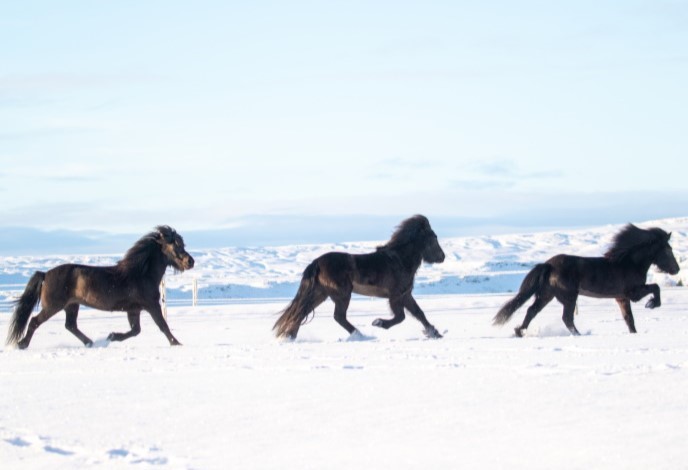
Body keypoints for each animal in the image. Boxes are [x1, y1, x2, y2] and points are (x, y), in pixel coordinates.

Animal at [6, 226, 195, 349]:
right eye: (174, 244)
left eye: (182, 243)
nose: (190, 261)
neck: (141, 274)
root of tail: (45, 274)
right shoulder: (152, 305)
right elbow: (163, 326)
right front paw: (177, 343)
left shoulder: (133, 310)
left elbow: (136, 331)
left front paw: (112, 336)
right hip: (54, 306)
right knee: (35, 321)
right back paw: (22, 344)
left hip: (72, 305)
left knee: (70, 325)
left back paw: (91, 343)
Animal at [273, 215, 446, 340]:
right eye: (433, 237)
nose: (442, 257)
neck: (400, 260)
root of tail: (316, 263)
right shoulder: (395, 296)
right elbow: (400, 317)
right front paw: (378, 322)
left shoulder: (406, 295)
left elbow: (419, 314)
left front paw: (435, 333)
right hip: (342, 294)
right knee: (338, 317)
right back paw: (361, 335)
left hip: (320, 294)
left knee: (301, 313)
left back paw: (290, 337)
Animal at [493, 224, 680, 337]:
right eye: (667, 250)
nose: (676, 269)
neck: (629, 262)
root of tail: (549, 265)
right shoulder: (633, 292)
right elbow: (656, 287)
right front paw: (652, 304)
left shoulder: (621, 298)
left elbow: (629, 319)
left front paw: (634, 333)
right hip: (568, 296)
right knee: (566, 318)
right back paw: (579, 335)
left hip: (547, 295)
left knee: (532, 310)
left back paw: (519, 332)